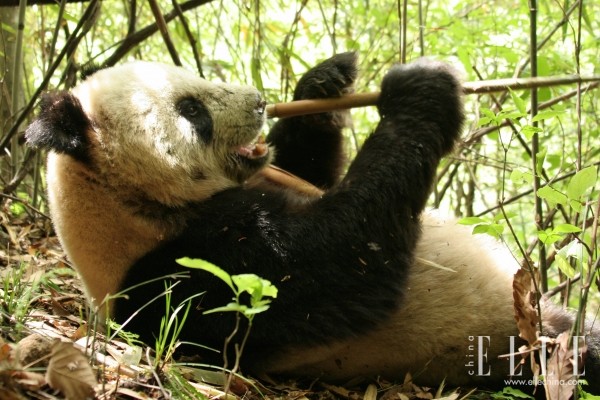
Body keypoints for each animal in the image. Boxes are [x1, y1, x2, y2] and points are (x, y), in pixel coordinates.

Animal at [24, 53, 600, 394]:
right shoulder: (189, 271)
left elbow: (312, 171)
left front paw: (324, 82)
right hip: (513, 339)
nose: (260, 102)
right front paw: (419, 93)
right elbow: (342, 261)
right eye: (191, 110)